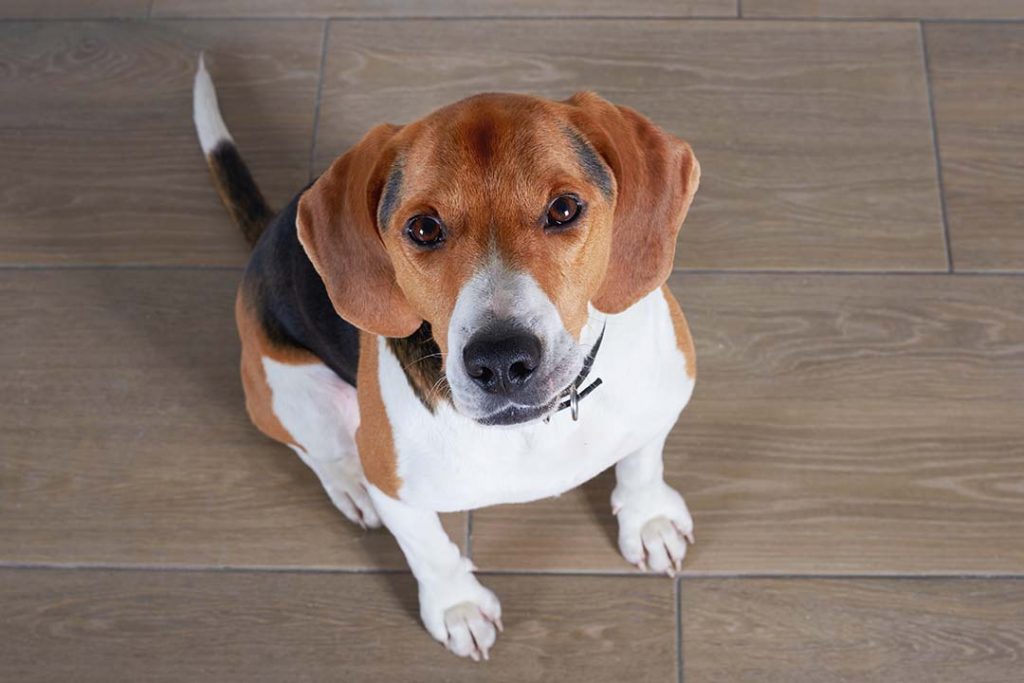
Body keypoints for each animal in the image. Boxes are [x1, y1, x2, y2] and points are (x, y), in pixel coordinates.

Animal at [194, 56, 700, 659]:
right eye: (423, 228)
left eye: (564, 208)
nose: (501, 360)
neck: (536, 429)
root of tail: (266, 236)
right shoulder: (396, 488)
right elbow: (429, 551)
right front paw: (456, 607)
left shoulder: (662, 397)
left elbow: (643, 460)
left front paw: (648, 520)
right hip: (294, 395)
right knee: (317, 451)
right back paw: (349, 485)